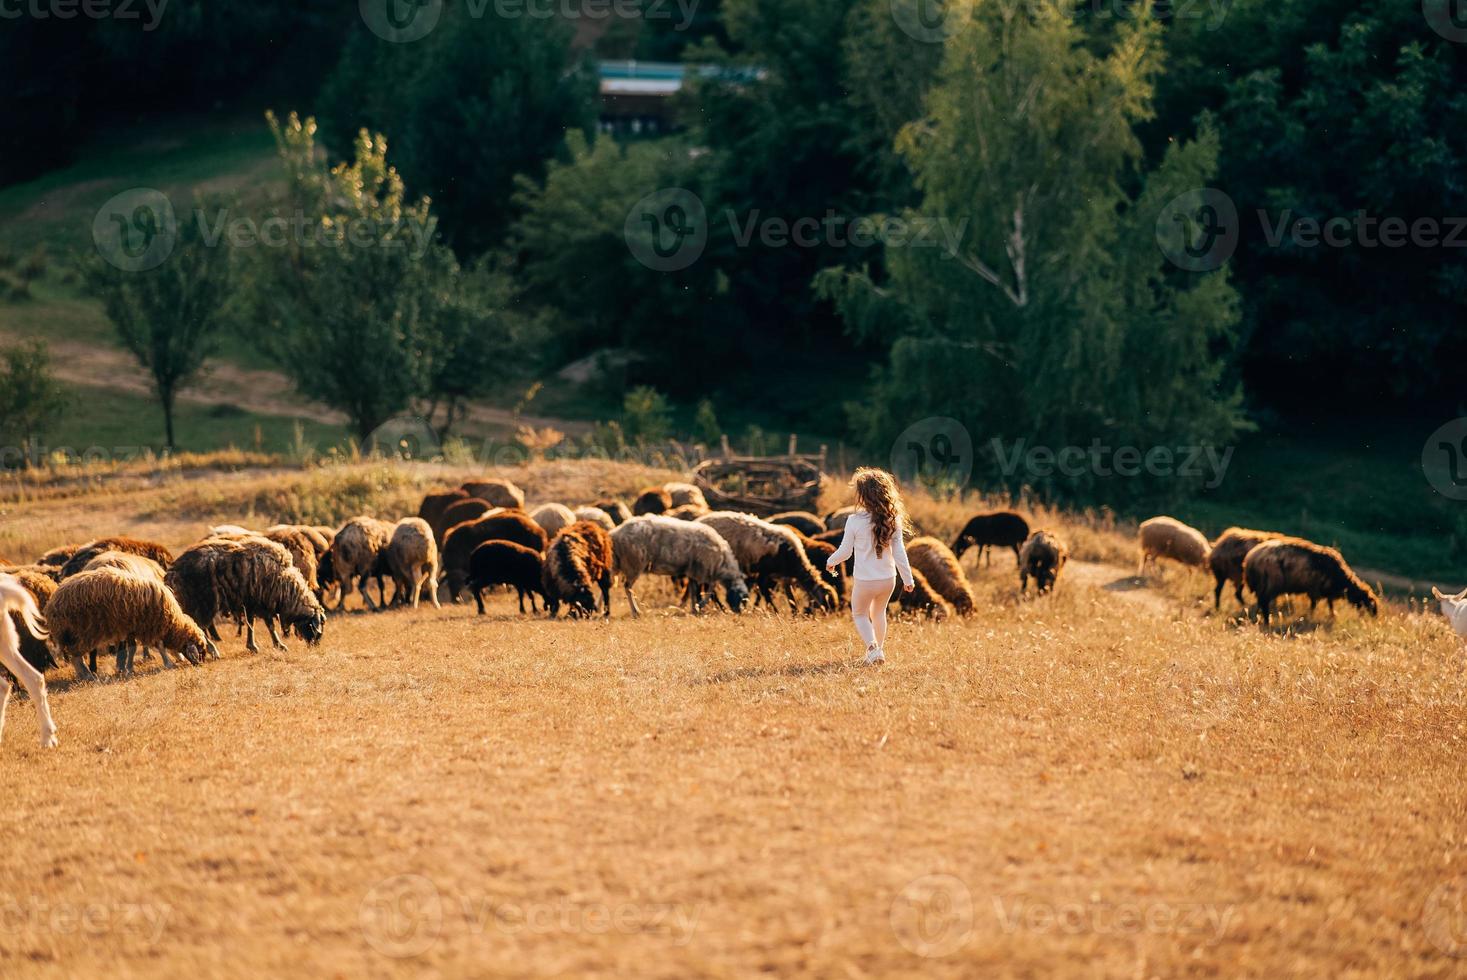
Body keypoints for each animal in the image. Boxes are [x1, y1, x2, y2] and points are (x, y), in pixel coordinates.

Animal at [610, 516, 751, 616]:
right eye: (742, 600)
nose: (739, 613)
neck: (722, 562)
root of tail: (616, 533)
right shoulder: (704, 570)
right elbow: (710, 588)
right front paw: (700, 605)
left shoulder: (693, 570)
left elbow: (693, 590)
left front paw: (694, 607)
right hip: (634, 564)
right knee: (628, 588)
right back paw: (636, 612)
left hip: (626, 563)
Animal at [689, 513, 833, 613]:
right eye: (826, 601)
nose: (826, 615)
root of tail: (698, 521)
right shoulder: (764, 571)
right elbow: (765, 592)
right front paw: (775, 610)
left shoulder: (776, 575)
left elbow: (779, 594)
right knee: (701, 586)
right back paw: (712, 607)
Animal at [1238, 539, 1373, 624]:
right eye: (1368, 603)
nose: (1368, 619)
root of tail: (1251, 558)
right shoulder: (1315, 590)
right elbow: (1314, 605)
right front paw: (1311, 616)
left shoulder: (1325, 591)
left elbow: (1329, 604)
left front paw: (1332, 616)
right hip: (1271, 584)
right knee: (1264, 601)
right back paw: (1266, 621)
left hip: (1261, 585)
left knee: (1260, 602)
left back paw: (1259, 617)